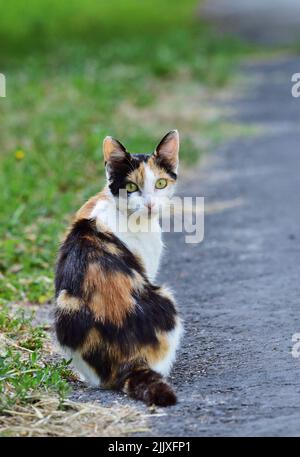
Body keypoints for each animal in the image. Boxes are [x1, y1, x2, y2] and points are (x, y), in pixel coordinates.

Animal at [55, 130, 184, 404]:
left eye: (160, 184)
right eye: (131, 187)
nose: (150, 205)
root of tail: (129, 363)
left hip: (64, 307)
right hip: (164, 297)